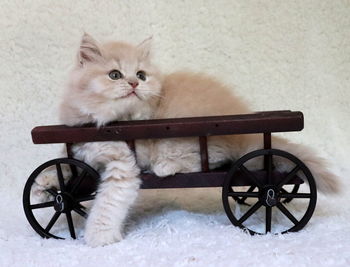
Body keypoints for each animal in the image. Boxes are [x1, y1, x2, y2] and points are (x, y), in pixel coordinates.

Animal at [35, 34, 340, 249]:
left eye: (141, 75)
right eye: (114, 75)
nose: (134, 84)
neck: (109, 122)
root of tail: (246, 134)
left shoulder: (124, 163)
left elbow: (109, 200)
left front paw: (98, 236)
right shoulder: (78, 151)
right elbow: (62, 168)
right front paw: (44, 186)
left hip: (188, 141)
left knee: (213, 163)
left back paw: (165, 167)